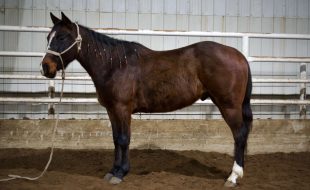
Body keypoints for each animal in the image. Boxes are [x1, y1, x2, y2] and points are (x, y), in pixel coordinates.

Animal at [41, 13, 253, 187]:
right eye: (48, 37)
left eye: (62, 37)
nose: (45, 67)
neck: (114, 65)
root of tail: (239, 56)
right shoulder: (111, 110)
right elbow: (116, 139)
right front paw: (113, 171)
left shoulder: (122, 109)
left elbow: (124, 139)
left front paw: (121, 173)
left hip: (229, 106)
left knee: (239, 134)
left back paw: (233, 177)